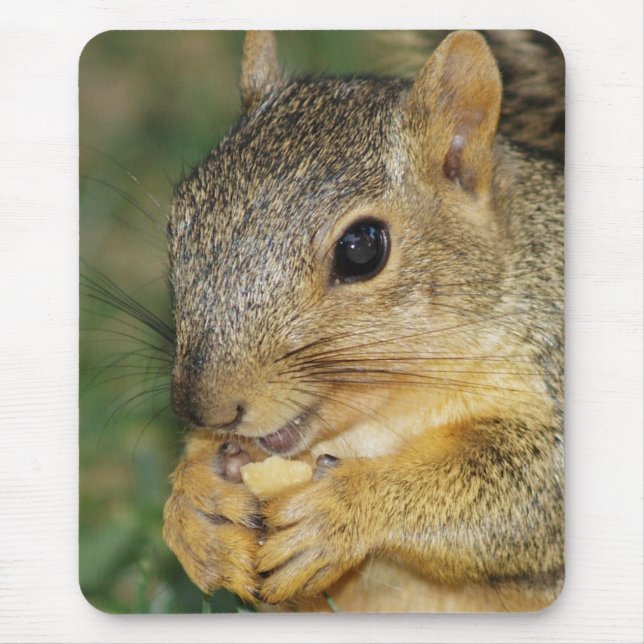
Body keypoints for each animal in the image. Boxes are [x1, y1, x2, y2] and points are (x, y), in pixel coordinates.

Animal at [161, 30, 564, 612]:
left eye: (361, 250)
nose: (203, 408)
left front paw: (339, 510)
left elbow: (528, 494)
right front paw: (197, 508)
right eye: (177, 223)